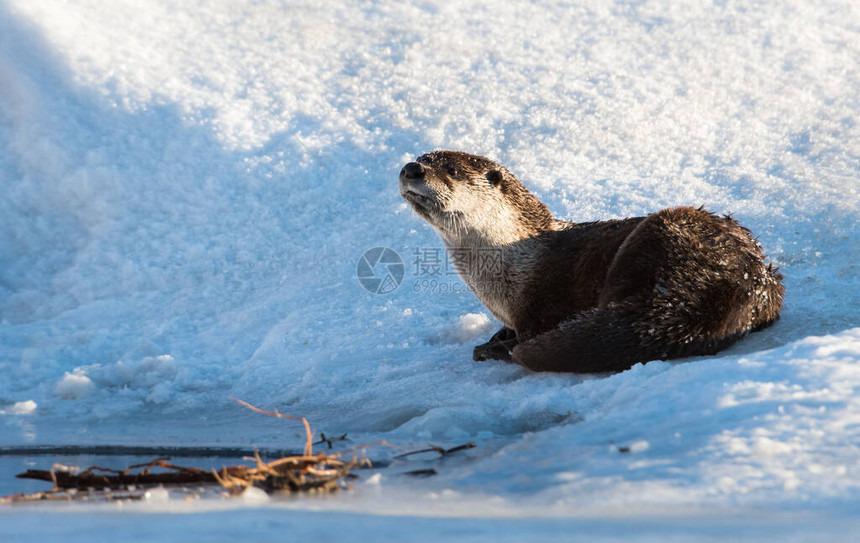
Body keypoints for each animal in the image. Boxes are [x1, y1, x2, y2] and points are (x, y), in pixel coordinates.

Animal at [400, 153, 784, 374]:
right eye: (421, 157)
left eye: (451, 170)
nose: (411, 168)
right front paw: (497, 336)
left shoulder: (540, 302)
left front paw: (496, 344)